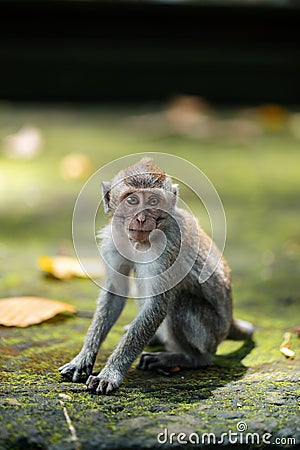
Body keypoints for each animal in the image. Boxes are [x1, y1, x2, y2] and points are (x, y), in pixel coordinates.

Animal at [59, 157, 254, 394]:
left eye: (153, 200)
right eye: (132, 200)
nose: (142, 219)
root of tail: (229, 322)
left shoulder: (168, 247)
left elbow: (158, 304)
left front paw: (110, 373)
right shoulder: (114, 241)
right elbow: (115, 293)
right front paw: (84, 357)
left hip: (210, 333)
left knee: (180, 302)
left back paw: (188, 358)